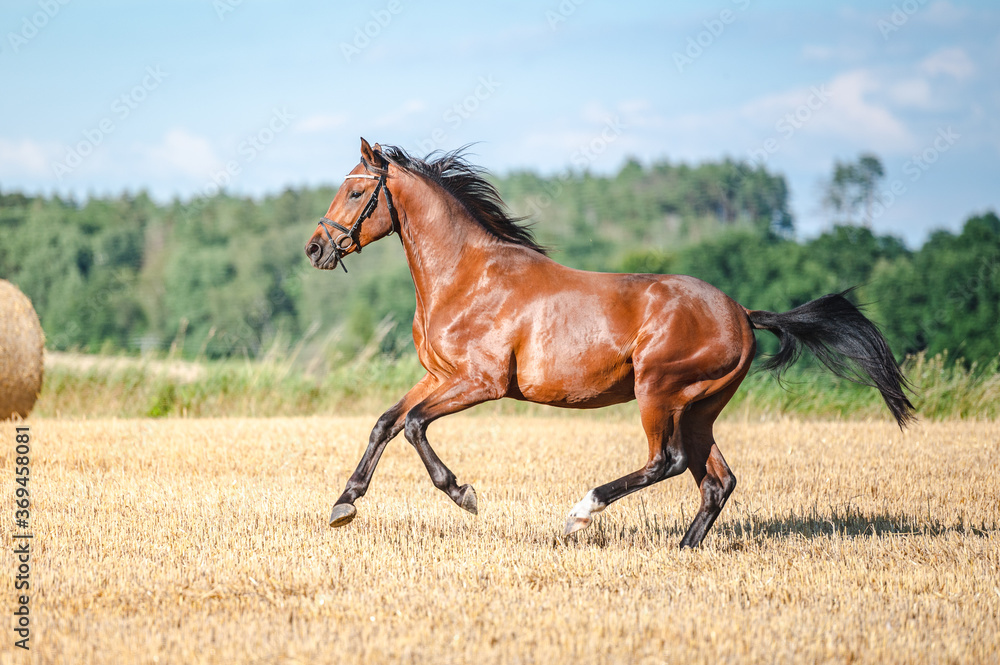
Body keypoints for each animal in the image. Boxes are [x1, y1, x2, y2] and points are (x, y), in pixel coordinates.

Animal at [304, 138, 914, 548]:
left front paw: (464, 494)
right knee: (717, 480)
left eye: (355, 191)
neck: (467, 275)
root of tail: (742, 314)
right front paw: (343, 504)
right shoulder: (439, 375)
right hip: (700, 407)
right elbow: (385, 422)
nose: (315, 249)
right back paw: (683, 548)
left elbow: (412, 426)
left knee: (666, 461)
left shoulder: (480, 382)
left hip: (659, 391)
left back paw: (581, 511)